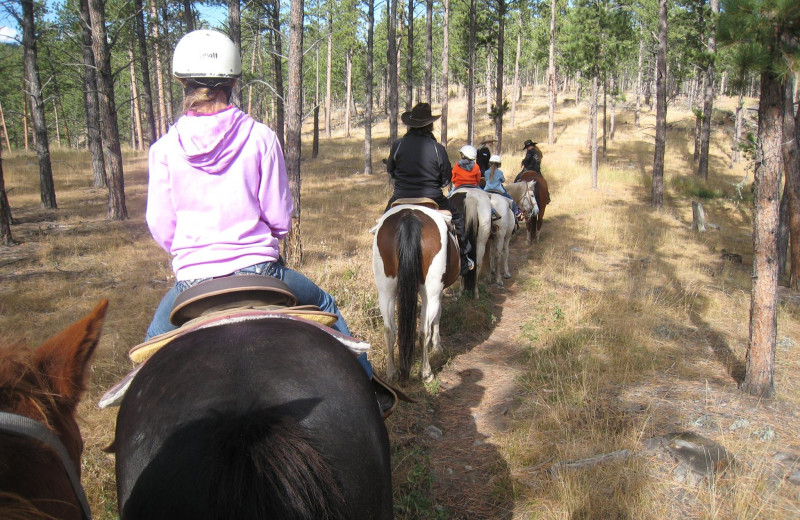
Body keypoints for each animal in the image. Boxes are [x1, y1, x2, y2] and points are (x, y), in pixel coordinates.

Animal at [372, 200, 460, 382]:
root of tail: (410, 216)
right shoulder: (438, 292)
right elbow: (437, 317)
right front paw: (438, 346)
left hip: (386, 292)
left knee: (389, 330)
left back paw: (391, 372)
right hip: (430, 294)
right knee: (424, 331)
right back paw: (426, 372)